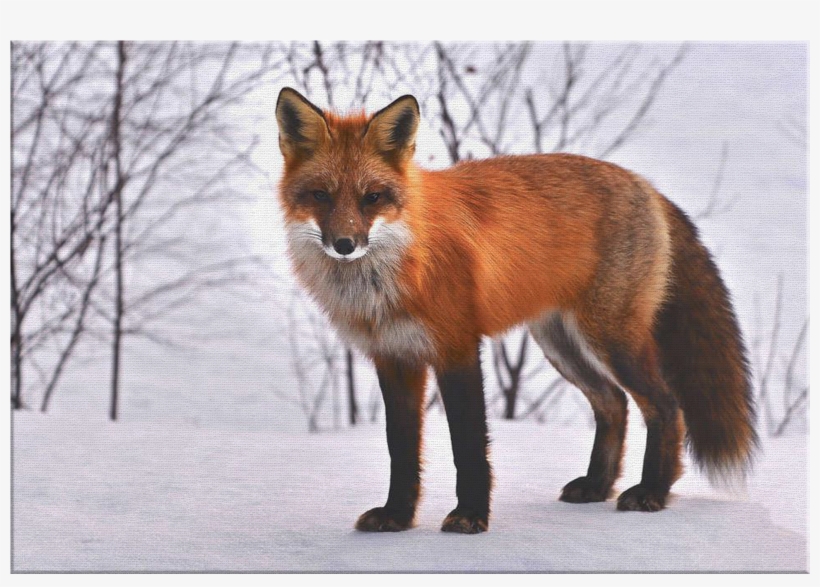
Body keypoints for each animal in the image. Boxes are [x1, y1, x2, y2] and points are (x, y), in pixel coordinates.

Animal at [275, 87, 757, 534]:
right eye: (320, 195)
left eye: (372, 197)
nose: (345, 244)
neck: (396, 270)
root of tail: (646, 186)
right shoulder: (394, 357)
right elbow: (402, 449)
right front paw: (397, 516)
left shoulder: (457, 348)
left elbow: (468, 445)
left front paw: (470, 516)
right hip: (561, 344)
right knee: (613, 403)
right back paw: (597, 486)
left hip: (611, 339)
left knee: (666, 407)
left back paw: (652, 492)